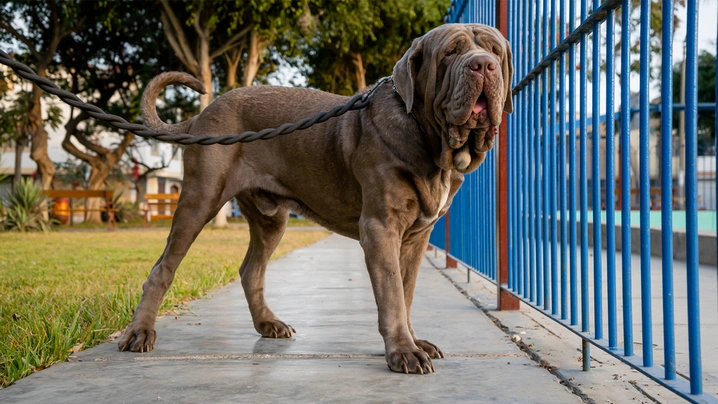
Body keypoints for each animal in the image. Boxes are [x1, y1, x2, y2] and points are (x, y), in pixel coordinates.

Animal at [119, 22, 512, 376]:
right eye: (451, 52)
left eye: (495, 51)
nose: (483, 65)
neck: (431, 142)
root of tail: (203, 114)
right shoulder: (381, 227)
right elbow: (393, 294)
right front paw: (404, 351)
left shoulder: (416, 237)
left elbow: (407, 290)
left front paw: (414, 341)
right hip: (200, 199)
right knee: (162, 268)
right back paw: (139, 332)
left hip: (271, 219)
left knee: (251, 270)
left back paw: (269, 323)